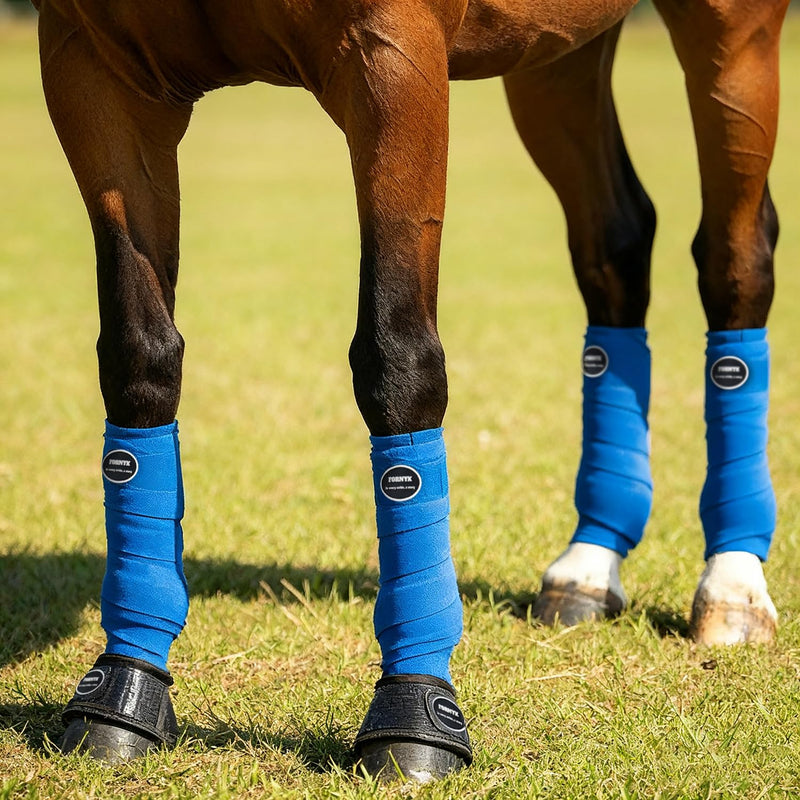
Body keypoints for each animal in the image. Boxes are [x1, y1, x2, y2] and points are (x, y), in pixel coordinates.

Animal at [34, 0, 788, 783]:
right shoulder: (94, 70)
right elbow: (138, 357)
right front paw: (122, 693)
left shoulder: (393, 63)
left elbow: (396, 359)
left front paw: (415, 714)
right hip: (559, 60)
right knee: (617, 246)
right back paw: (590, 562)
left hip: (734, 39)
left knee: (735, 262)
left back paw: (733, 584)